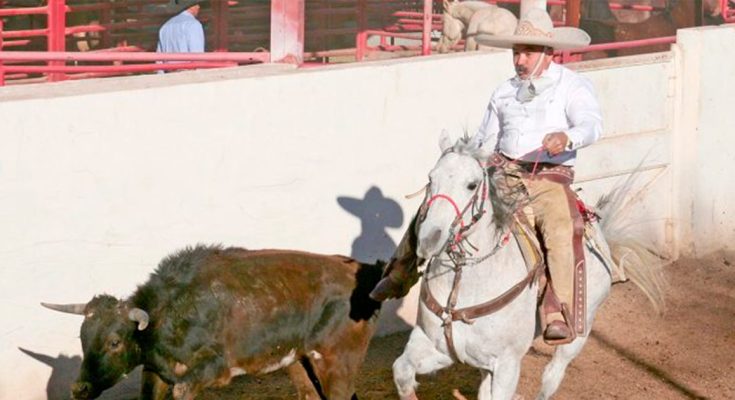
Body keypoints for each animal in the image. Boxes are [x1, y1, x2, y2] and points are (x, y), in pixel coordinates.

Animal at [42, 245, 382, 398]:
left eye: (114, 342)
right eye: (83, 337)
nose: (79, 388)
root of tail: (362, 270)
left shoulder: (210, 370)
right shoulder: (154, 372)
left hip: (338, 359)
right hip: (299, 360)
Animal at [396, 135, 668, 400]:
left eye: (472, 185)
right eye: (431, 178)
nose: (429, 239)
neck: (465, 283)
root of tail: (600, 237)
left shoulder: (507, 364)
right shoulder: (438, 346)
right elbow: (402, 372)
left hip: (579, 332)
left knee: (551, 377)